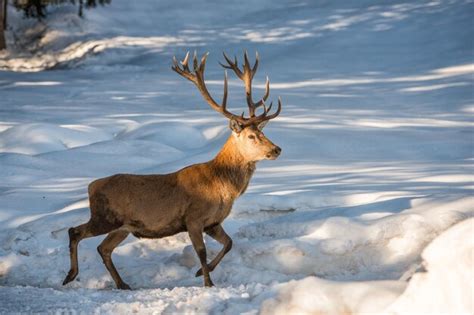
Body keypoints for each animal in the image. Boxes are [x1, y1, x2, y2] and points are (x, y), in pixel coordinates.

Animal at [62, 50, 282, 290]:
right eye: (251, 136)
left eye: (262, 133)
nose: (276, 149)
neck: (222, 186)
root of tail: (91, 186)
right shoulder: (193, 218)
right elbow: (201, 252)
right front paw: (208, 282)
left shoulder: (213, 222)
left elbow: (229, 243)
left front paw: (200, 272)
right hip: (104, 217)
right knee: (75, 231)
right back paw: (70, 275)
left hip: (123, 227)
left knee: (103, 248)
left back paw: (122, 284)